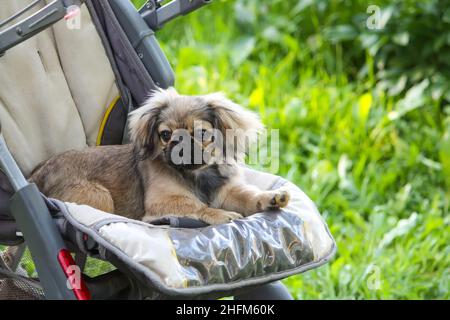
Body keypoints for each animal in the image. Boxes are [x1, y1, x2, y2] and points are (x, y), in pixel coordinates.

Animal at [29, 86, 290, 224]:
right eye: (165, 134)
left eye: (202, 133)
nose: (179, 142)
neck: (196, 175)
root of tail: (37, 174)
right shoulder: (161, 203)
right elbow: (196, 205)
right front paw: (218, 214)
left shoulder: (227, 192)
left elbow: (249, 196)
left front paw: (271, 198)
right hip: (100, 196)